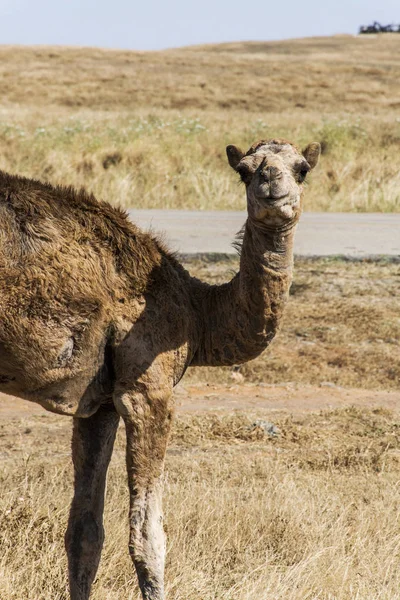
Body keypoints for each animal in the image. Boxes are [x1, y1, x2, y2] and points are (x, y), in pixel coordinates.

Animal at [0, 137, 320, 600]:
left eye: (301, 169)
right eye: (244, 170)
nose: (270, 185)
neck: (197, 312)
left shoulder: (98, 403)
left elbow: (84, 533)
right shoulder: (147, 389)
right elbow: (149, 537)